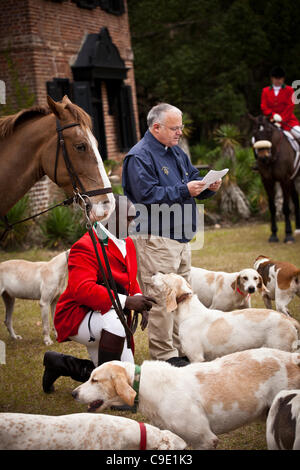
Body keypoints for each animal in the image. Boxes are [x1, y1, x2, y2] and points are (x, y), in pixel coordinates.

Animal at [251, 114, 300, 242]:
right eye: (254, 132)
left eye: (269, 131)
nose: (263, 157)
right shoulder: (267, 181)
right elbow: (272, 207)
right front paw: (273, 234)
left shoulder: (285, 179)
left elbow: (286, 207)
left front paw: (288, 235)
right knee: (295, 198)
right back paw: (298, 228)